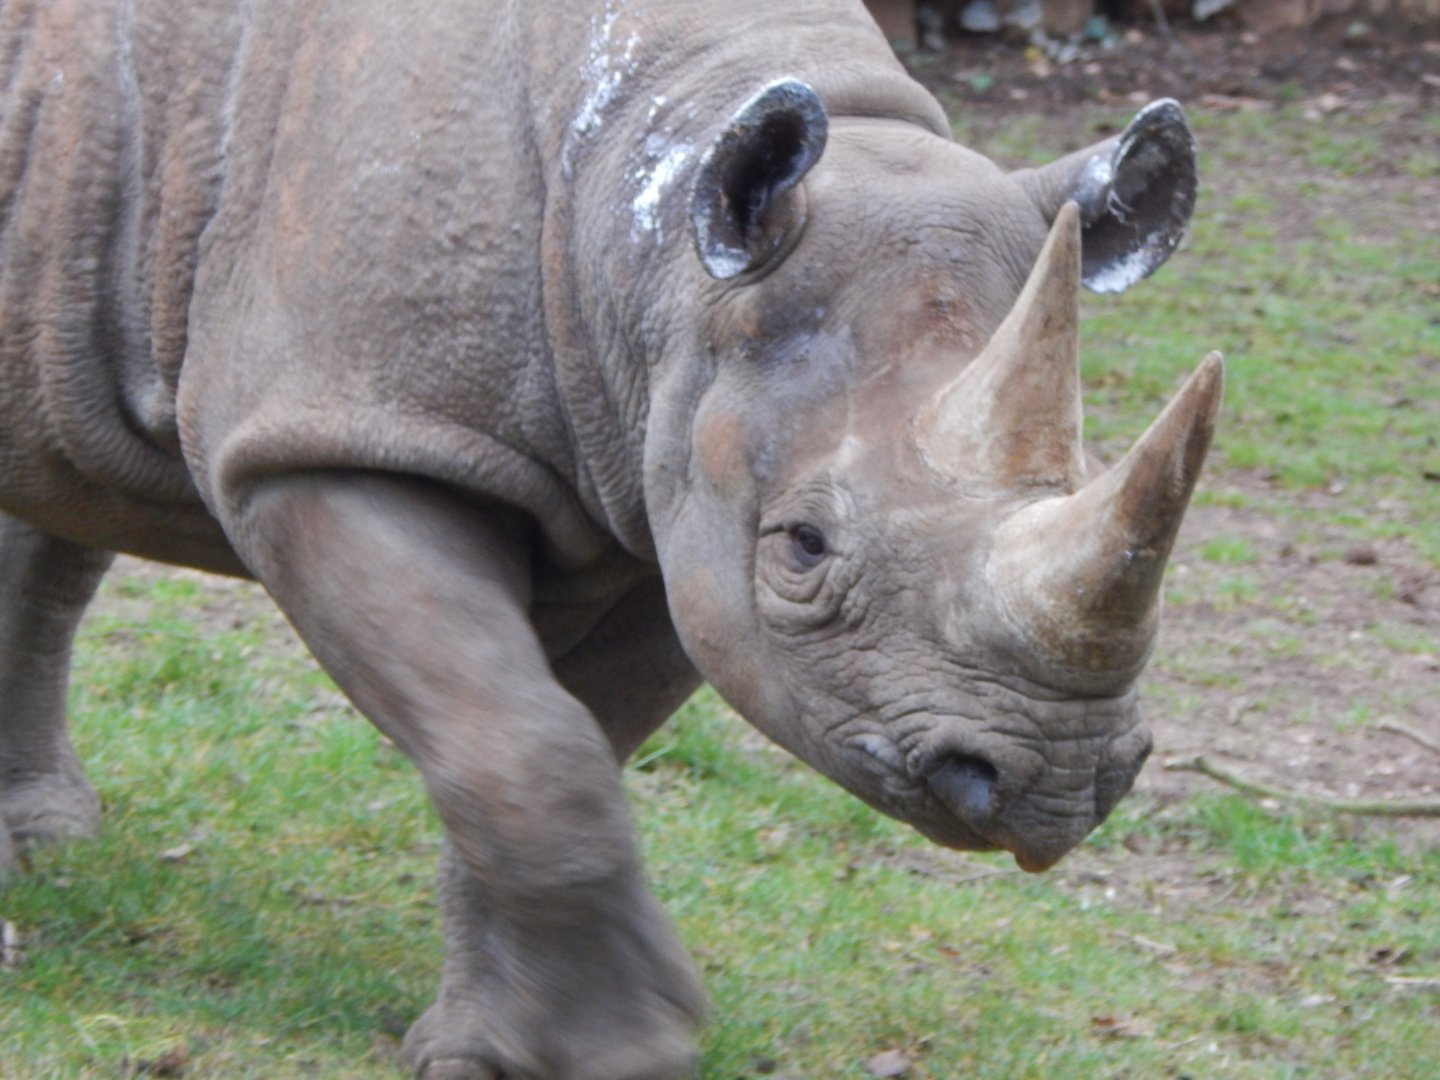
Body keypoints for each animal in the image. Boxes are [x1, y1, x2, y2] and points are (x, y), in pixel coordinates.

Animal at [0, 0, 1222, 1076]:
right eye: (803, 547)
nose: (1055, 783)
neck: (653, 242)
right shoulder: (335, 434)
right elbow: (522, 748)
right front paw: (623, 1044)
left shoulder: (663, 505)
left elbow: (563, 742)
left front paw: (495, 1050)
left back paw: (45, 844)